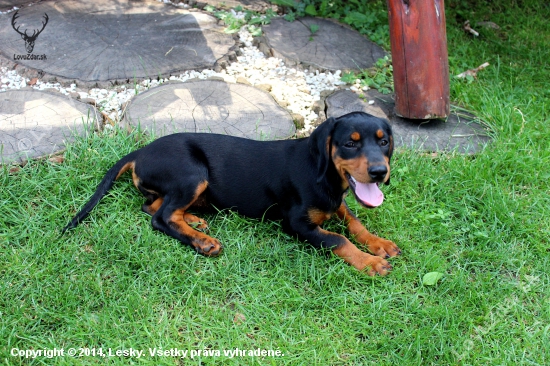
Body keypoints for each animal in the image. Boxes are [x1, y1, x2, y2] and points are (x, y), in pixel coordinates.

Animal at [63, 111, 402, 274]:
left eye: (384, 141)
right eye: (350, 143)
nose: (379, 172)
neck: (325, 177)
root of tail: (141, 151)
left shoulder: (336, 203)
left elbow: (354, 221)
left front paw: (380, 244)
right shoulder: (296, 223)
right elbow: (338, 239)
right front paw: (370, 263)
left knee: (154, 205)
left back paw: (195, 222)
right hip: (193, 173)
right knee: (159, 217)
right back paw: (203, 241)